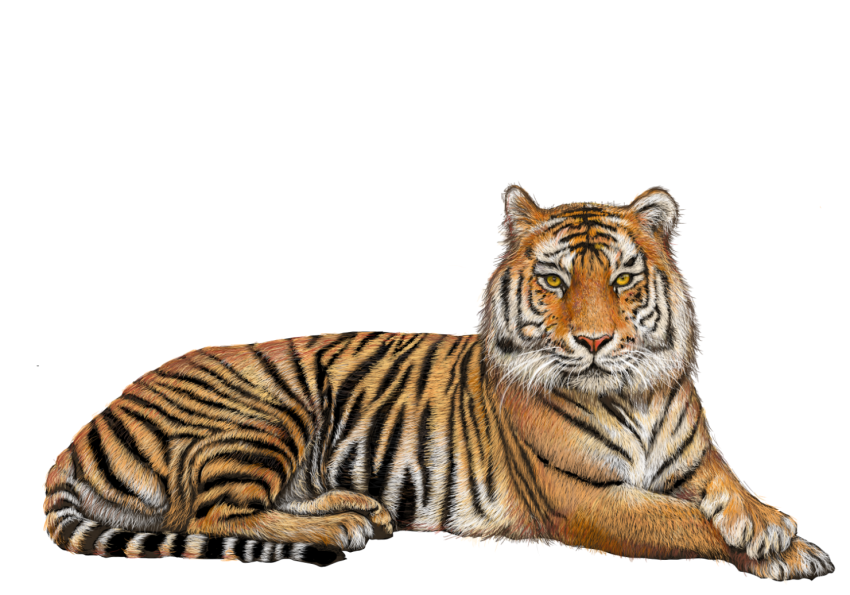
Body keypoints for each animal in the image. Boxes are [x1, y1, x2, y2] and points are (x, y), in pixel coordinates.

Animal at [44, 185, 834, 580]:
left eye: (621, 279)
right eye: (554, 281)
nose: (594, 341)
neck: (634, 392)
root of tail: (78, 436)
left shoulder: (695, 459)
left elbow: (728, 487)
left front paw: (775, 528)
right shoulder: (586, 498)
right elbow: (684, 521)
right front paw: (781, 550)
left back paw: (360, 508)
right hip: (264, 411)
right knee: (210, 514)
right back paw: (339, 525)